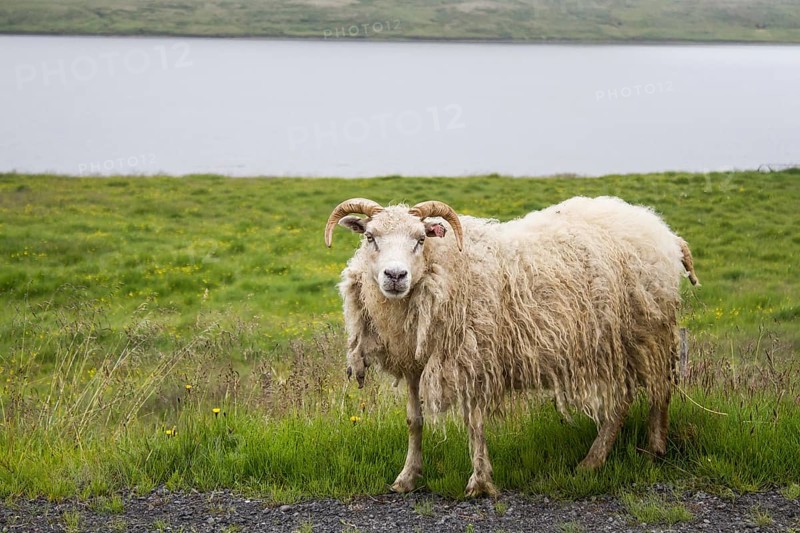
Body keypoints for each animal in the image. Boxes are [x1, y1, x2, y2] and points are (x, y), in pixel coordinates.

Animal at [324, 196, 699, 497]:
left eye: (420, 239)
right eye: (370, 237)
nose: (395, 276)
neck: (444, 267)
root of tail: (664, 232)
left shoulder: (472, 358)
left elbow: (474, 423)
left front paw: (480, 483)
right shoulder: (415, 363)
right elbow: (414, 422)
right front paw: (407, 478)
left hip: (647, 332)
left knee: (658, 390)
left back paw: (650, 450)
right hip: (612, 346)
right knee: (621, 402)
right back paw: (593, 462)